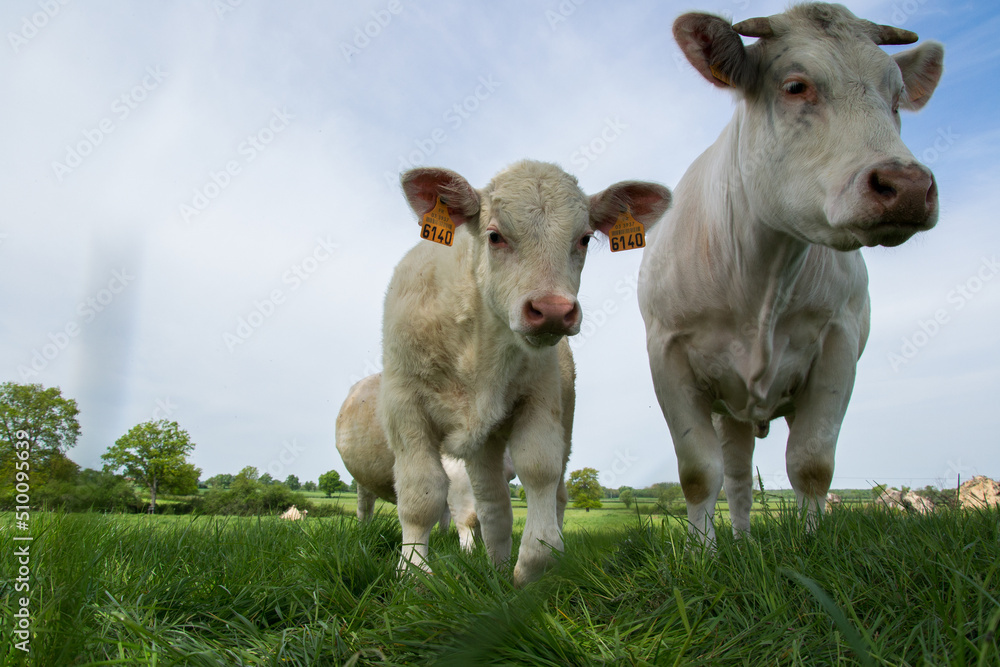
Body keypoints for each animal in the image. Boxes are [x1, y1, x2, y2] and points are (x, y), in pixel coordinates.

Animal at [335, 372, 518, 550]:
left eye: (510, 476)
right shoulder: (458, 472)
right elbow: (471, 518)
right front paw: (469, 553)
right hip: (363, 479)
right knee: (365, 506)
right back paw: (363, 529)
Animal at [382, 160, 671, 585]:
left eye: (585, 239)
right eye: (495, 235)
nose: (552, 310)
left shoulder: (541, 395)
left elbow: (539, 470)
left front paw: (534, 565)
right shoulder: (403, 406)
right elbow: (421, 494)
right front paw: (415, 576)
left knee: (545, 496)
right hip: (481, 442)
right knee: (492, 505)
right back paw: (495, 567)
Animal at [638, 3, 943, 545]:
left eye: (896, 99)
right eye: (796, 85)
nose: (908, 185)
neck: (763, 271)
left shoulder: (839, 344)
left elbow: (812, 463)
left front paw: (812, 543)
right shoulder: (668, 353)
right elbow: (699, 473)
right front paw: (701, 553)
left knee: (745, 473)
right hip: (728, 408)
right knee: (736, 475)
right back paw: (737, 542)